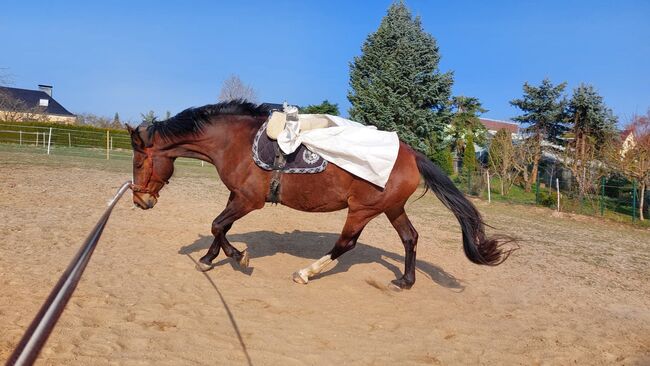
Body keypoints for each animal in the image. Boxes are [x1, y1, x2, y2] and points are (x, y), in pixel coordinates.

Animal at [126, 99, 512, 288]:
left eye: (138, 162)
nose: (140, 201)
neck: (232, 141)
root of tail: (410, 153)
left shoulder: (248, 200)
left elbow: (218, 226)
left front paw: (238, 258)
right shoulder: (236, 197)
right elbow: (220, 227)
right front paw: (209, 258)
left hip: (362, 210)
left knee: (346, 244)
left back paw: (306, 273)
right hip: (391, 208)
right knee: (410, 238)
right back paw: (406, 280)